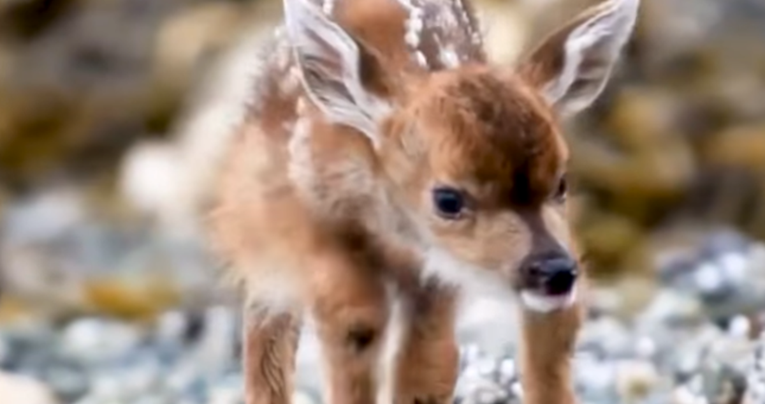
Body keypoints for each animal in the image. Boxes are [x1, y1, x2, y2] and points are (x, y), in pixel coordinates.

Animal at [206, 0, 636, 402]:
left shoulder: (436, 281)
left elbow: (431, 367)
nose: (554, 270)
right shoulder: (295, 220)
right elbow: (353, 322)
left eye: (562, 182)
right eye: (447, 199)